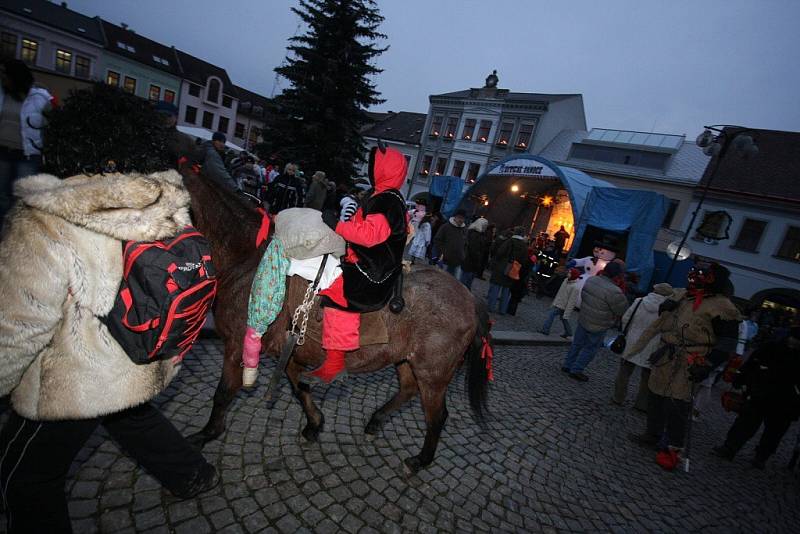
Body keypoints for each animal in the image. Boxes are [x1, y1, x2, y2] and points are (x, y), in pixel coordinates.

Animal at [184, 171, 490, 474]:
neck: (247, 259)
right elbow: (298, 385)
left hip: (433, 372)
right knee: (408, 389)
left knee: (437, 416)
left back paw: (419, 460)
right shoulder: (288, 347)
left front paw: (206, 434)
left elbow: (224, 393)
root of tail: (470, 299)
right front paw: (314, 423)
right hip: (406, 360)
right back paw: (375, 421)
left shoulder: (239, 345)